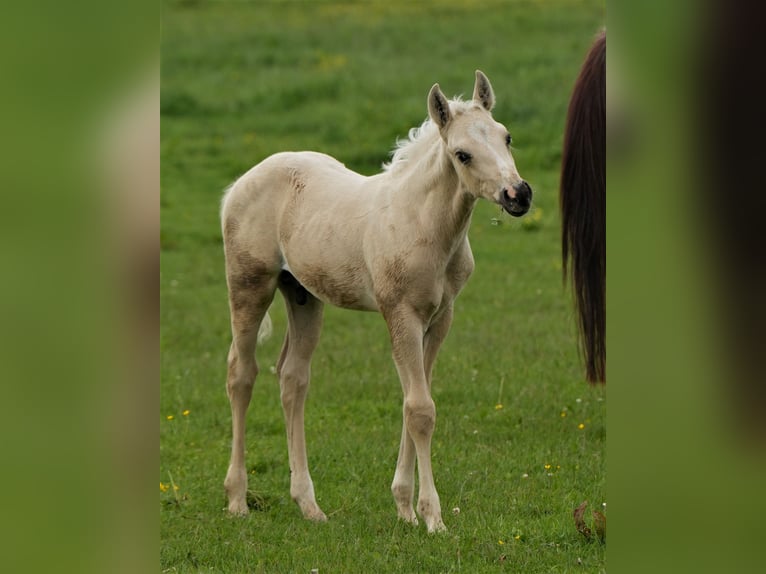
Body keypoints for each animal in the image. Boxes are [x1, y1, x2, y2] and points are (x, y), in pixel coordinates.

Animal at [222, 72, 536, 536]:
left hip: (303, 295)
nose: (519, 194)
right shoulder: (400, 314)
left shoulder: (440, 318)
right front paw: (433, 518)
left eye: (506, 136)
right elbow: (420, 409)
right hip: (249, 284)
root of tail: (240, 184)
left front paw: (405, 508)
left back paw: (309, 505)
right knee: (242, 374)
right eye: (462, 154)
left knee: (293, 378)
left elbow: (416, 402)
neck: (423, 224)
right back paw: (238, 499)